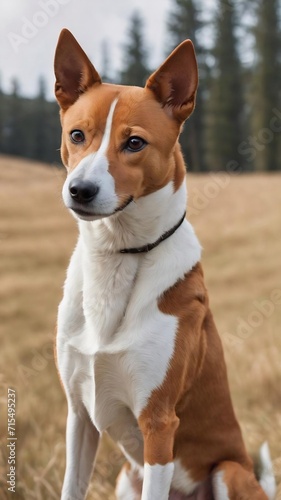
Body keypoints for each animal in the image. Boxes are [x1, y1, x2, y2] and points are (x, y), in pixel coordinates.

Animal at [53, 30, 274, 500]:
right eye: (77, 135)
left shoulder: (158, 424)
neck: (118, 255)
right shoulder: (79, 417)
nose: (80, 190)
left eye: (134, 142)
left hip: (229, 471)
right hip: (125, 477)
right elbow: (71, 486)